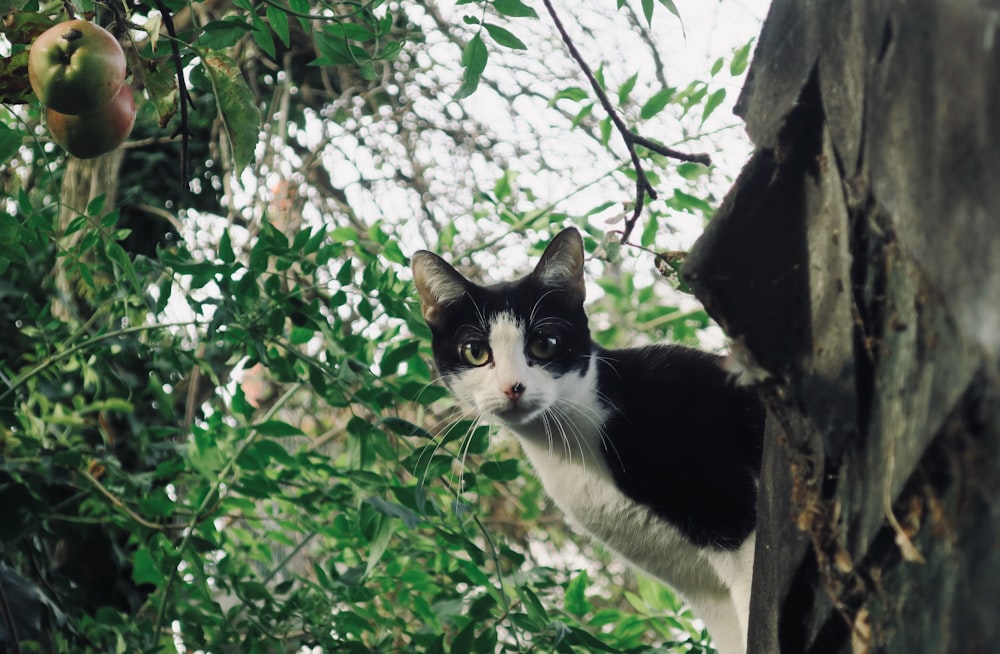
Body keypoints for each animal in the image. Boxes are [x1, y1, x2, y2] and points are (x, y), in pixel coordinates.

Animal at [410, 227, 760, 654]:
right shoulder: (702, 585)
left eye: (545, 344)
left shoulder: (732, 516)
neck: (571, 446)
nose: (513, 386)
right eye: (475, 351)